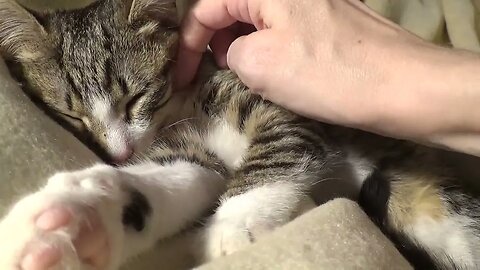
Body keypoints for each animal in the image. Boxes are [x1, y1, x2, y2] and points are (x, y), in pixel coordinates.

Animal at [0, 0, 478, 270]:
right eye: (72, 115)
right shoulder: (185, 149)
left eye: (135, 96)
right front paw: (74, 222)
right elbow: (175, 175)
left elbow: (276, 152)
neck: (184, 105)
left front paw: (230, 228)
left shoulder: (283, 105)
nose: (119, 153)